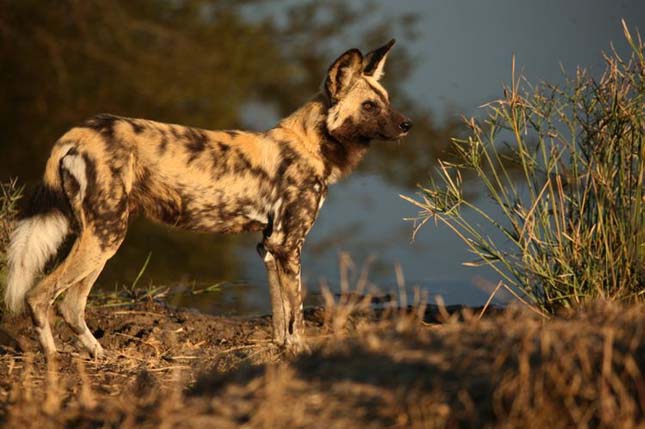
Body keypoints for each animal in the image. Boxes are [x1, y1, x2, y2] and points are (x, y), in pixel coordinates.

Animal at [3, 40, 412, 356]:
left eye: (388, 100)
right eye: (369, 106)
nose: (407, 124)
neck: (311, 144)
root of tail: (77, 132)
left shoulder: (269, 246)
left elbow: (280, 313)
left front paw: (281, 350)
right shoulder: (289, 245)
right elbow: (295, 311)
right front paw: (300, 352)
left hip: (102, 239)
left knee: (71, 303)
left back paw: (97, 352)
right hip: (105, 235)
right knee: (40, 296)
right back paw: (54, 361)